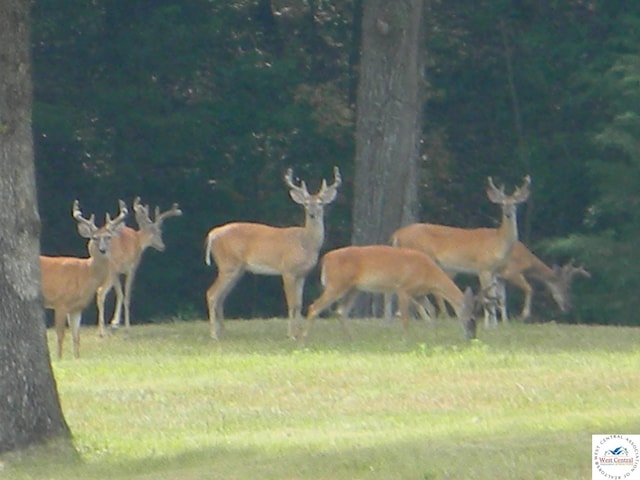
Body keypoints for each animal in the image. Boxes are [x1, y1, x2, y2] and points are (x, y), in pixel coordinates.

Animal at [39, 200, 127, 360]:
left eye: (109, 237)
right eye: (95, 238)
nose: (103, 250)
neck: (85, 273)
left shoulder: (76, 308)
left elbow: (76, 337)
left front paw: (77, 358)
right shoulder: (60, 302)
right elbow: (60, 335)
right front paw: (59, 359)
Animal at [96, 197, 184, 336]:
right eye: (159, 232)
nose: (163, 246)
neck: (138, 239)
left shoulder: (119, 272)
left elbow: (120, 294)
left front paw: (114, 324)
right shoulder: (131, 267)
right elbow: (126, 295)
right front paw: (126, 328)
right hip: (111, 268)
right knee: (100, 291)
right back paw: (101, 332)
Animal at [205, 167, 342, 340]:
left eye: (320, 203)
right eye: (305, 203)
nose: (312, 214)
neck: (306, 243)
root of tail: (213, 234)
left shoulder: (302, 274)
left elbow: (299, 303)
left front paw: (298, 333)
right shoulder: (287, 270)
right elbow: (292, 303)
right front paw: (291, 335)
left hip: (237, 269)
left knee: (221, 296)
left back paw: (224, 332)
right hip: (227, 264)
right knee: (212, 294)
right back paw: (214, 334)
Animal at [302, 246, 478, 344]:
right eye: (471, 319)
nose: (471, 337)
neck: (429, 274)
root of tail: (326, 258)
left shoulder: (418, 294)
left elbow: (431, 311)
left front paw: (433, 336)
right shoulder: (403, 288)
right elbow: (405, 318)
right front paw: (405, 341)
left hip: (353, 288)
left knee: (340, 311)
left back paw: (351, 341)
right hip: (336, 284)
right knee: (314, 307)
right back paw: (303, 341)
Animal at [390, 174, 528, 328]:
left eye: (515, 204)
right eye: (502, 204)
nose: (508, 214)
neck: (498, 243)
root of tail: (396, 234)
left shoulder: (494, 272)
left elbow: (497, 298)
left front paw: (496, 326)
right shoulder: (483, 268)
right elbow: (488, 298)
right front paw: (488, 326)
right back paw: (430, 319)